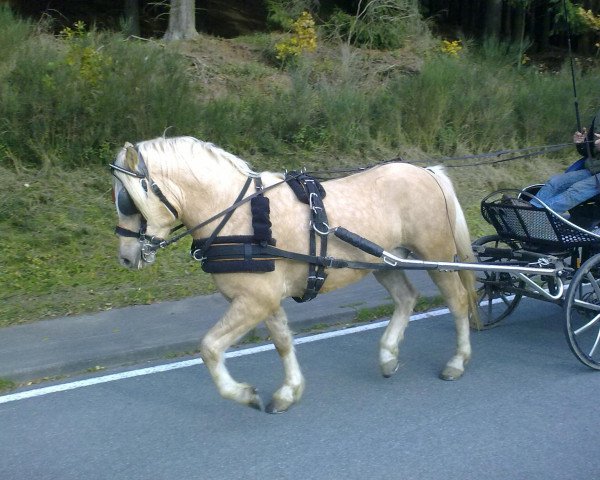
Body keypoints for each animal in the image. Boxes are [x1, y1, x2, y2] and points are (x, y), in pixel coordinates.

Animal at [112, 136, 478, 412]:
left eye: (126, 200)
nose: (127, 257)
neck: (237, 215)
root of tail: (427, 172)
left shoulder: (254, 301)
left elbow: (210, 348)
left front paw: (244, 394)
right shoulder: (265, 299)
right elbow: (283, 343)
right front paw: (289, 391)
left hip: (436, 255)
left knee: (457, 301)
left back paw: (457, 361)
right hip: (384, 261)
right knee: (406, 298)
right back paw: (388, 355)